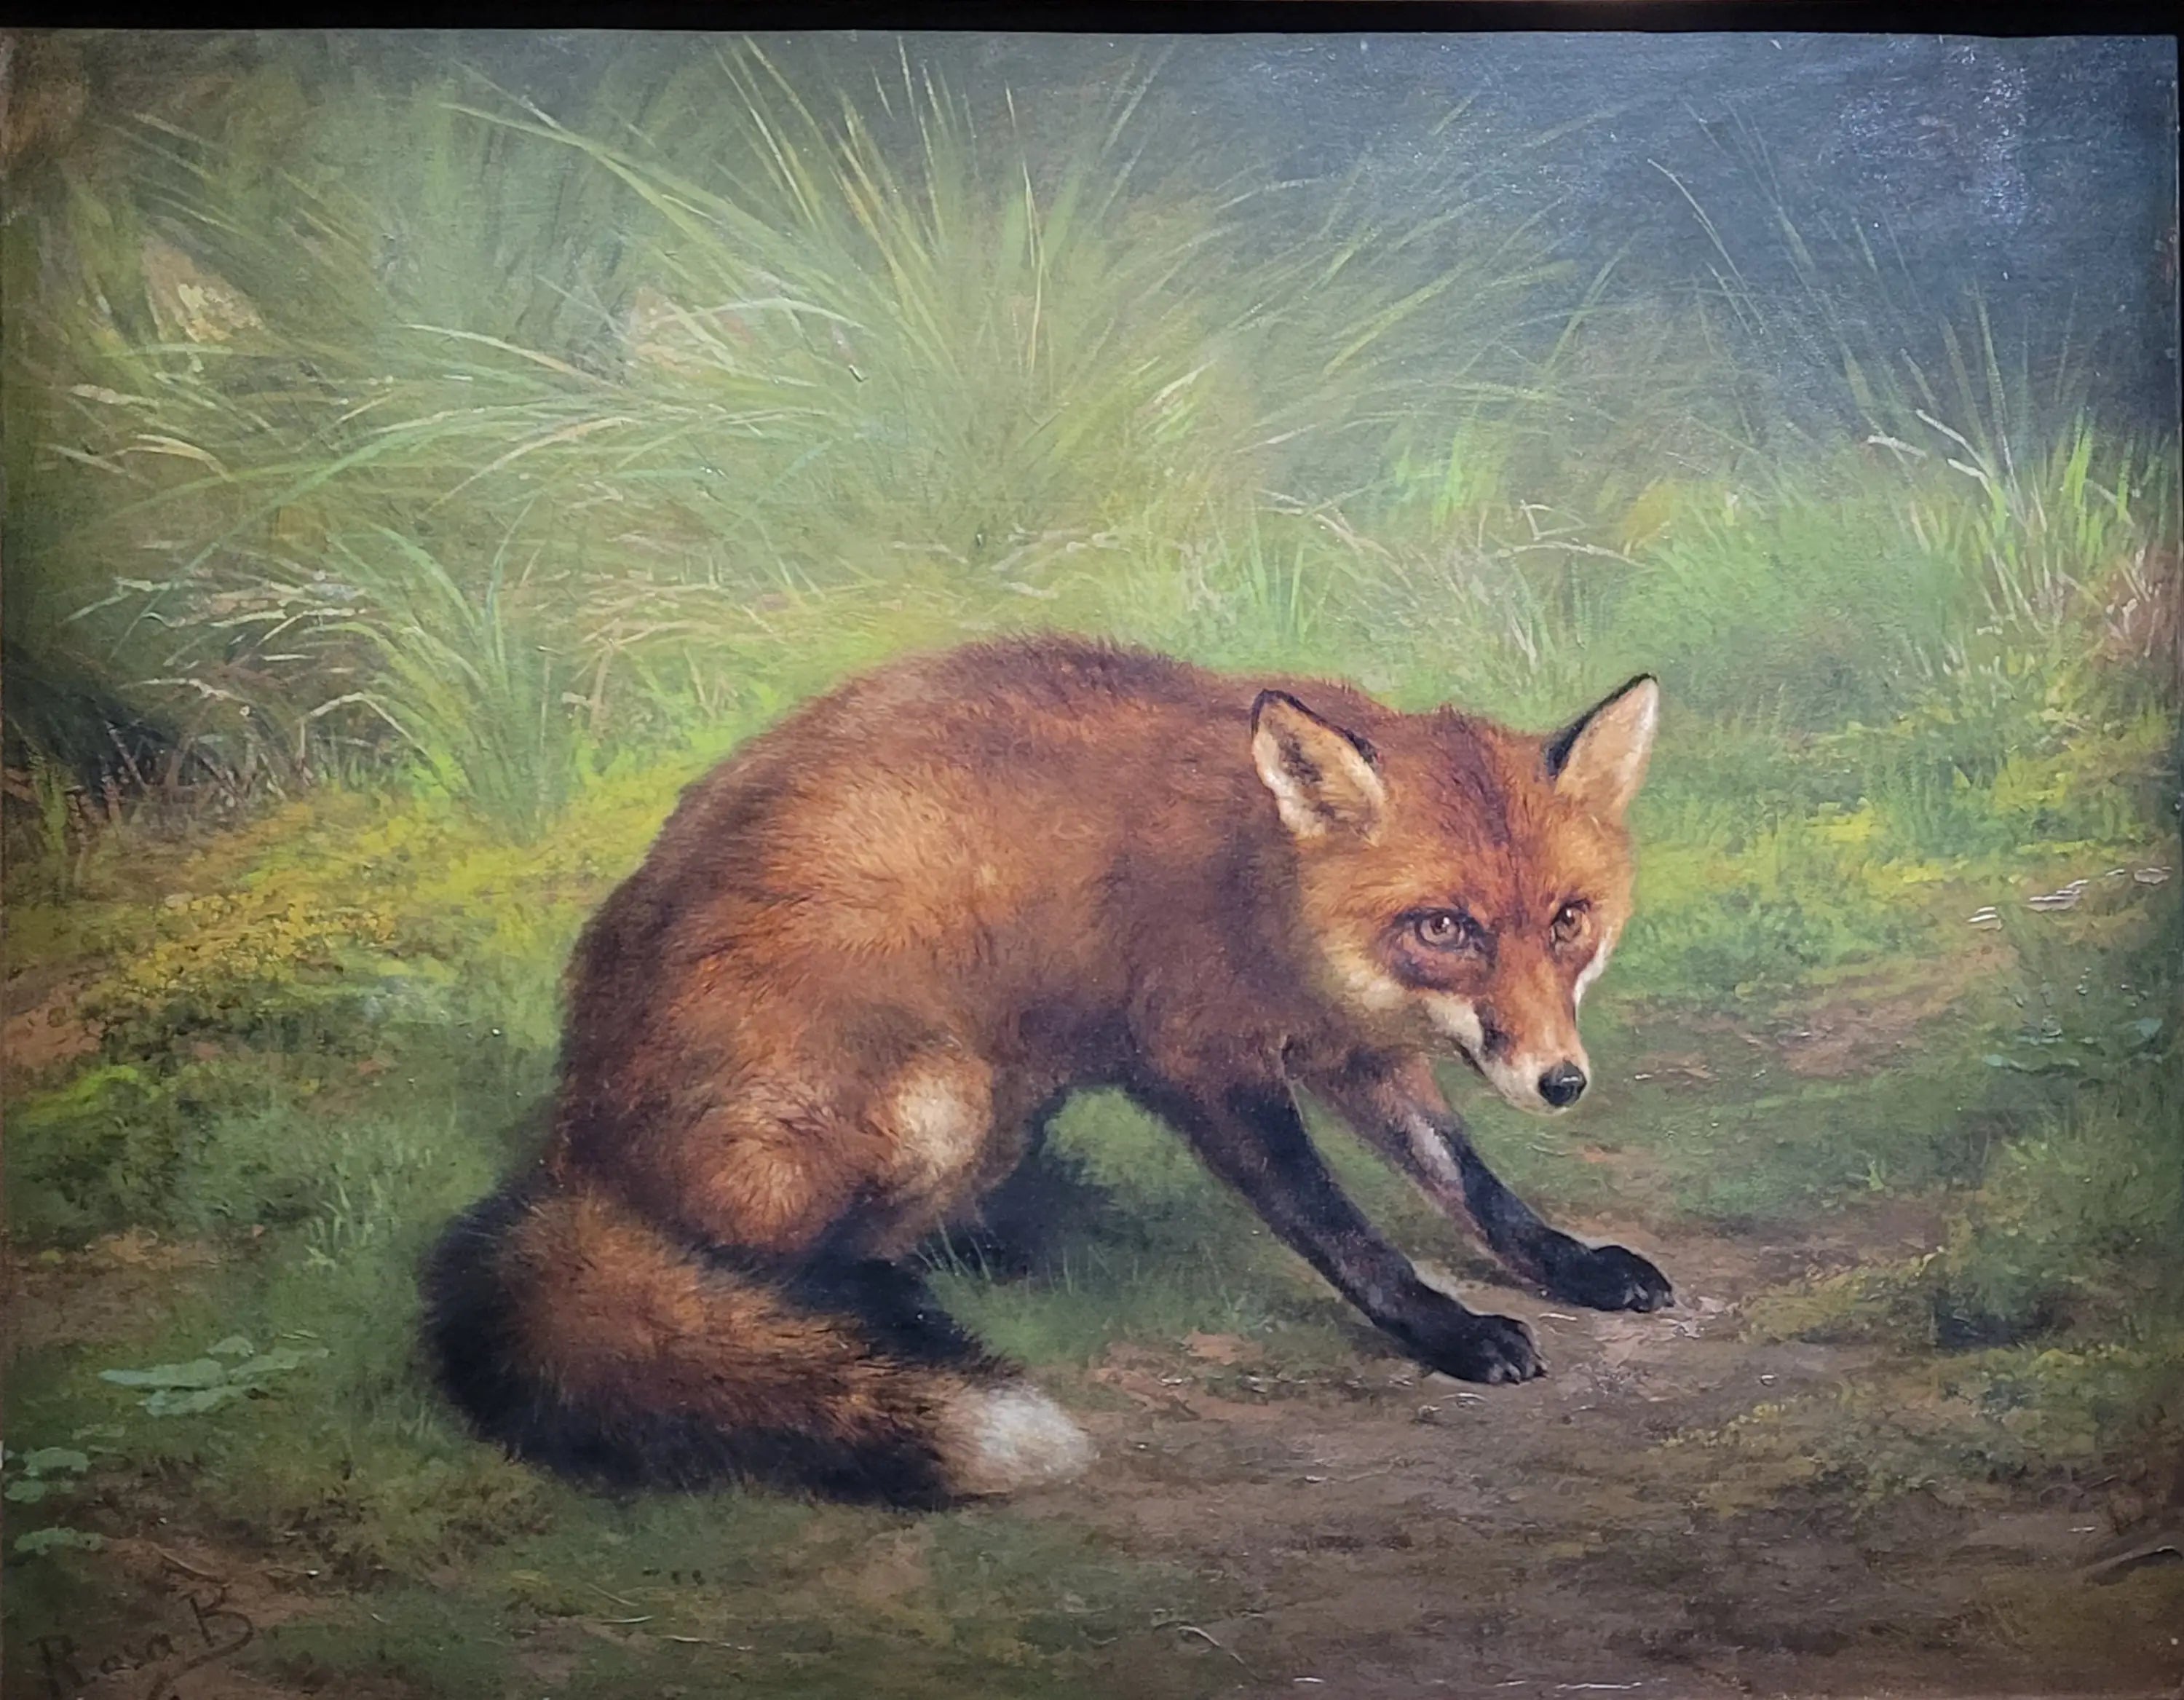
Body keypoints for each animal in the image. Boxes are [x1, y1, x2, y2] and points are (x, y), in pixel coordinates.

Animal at [424, 636, 1669, 1506]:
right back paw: (884, 1315)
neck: (1267, 887)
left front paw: (1572, 1265)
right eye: (1446, 927)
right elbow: (1343, 1231)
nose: (1562, 1082)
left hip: (1003, 1104)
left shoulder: (1356, 1048)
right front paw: (1449, 1331)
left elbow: (1472, 1183)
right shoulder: (1203, 1059)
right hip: (939, 1089)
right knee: (761, 1259)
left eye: (1568, 920)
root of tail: (571, 1143)